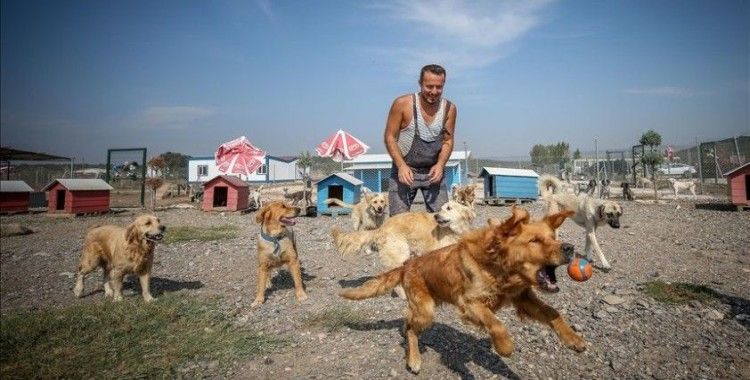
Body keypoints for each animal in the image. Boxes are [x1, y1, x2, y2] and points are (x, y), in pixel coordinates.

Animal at [340, 206, 588, 372]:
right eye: (534, 241)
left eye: (553, 237)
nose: (569, 248)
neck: (497, 267)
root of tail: (406, 265)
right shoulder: (469, 303)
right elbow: (496, 324)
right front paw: (505, 346)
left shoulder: (523, 297)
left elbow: (553, 313)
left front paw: (573, 339)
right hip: (426, 311)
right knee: (411, 329)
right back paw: (414, 359)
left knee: (407, 319)